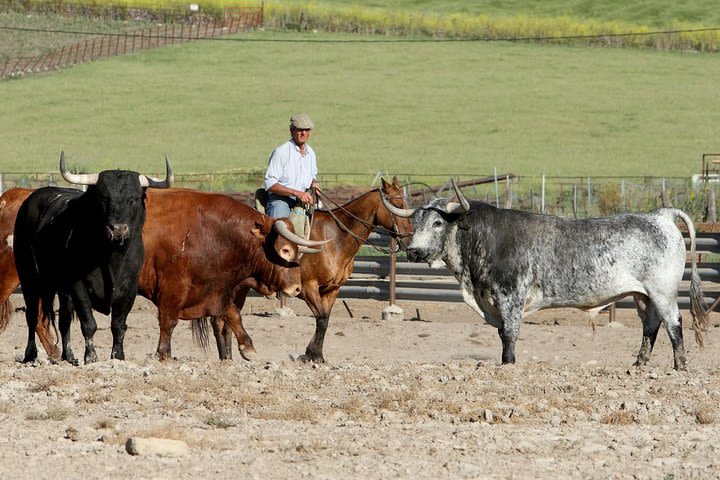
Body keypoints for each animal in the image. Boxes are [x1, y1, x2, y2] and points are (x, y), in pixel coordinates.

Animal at [386, 181, 712, 372]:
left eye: (438, 222)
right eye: (416, 223)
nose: (413, 251)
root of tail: (659, 215)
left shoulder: (510, 298)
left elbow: (509, 333)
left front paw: (508, 364)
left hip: (662, 292)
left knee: (673, 323)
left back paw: (680, 366)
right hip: (642, 295)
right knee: (651, 325)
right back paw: (639, 364)